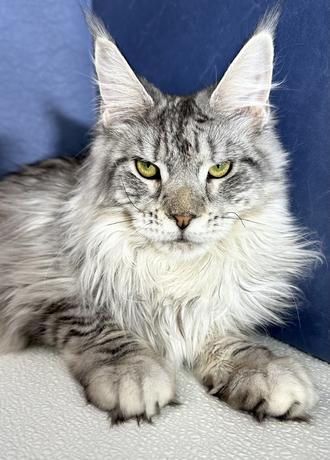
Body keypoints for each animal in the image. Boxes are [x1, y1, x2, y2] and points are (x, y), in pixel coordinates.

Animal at [0, 14, 320, 424]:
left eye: (219, 169)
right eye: (147, 168)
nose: (182, 218)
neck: (174, 276)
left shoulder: (211, 306)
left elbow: (223, 334)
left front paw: (261, 367)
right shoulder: (45, 287)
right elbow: (103, 326)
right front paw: (134, 372)